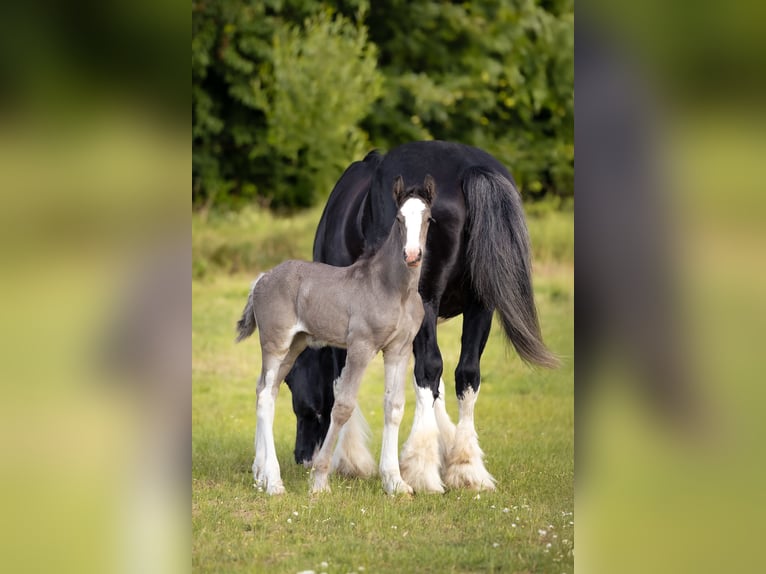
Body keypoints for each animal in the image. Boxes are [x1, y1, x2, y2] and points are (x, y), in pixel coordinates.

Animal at [236, 176, 436, 495]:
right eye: (399, 218)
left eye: (428, 218)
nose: (412, 255)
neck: (393, 289)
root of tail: (262, 278)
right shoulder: (360, 347)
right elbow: (342, 406)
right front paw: (319, 480)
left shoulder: (400, 349)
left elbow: (393, 407)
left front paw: (395, 482)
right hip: (275, 344)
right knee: (266, 395)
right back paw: (274, 482)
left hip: (295, 346)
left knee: (265, 389)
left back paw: (260, 474)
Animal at [285, 140, 559, 493]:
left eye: (291, 381)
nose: (301, 456)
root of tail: (469, 168)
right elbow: (437, 385)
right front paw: (445, 449)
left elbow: (343, 381)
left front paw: (350, 460)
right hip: (481, 305)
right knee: (466, 374)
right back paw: (467, 469)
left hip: (428, 300)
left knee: (431, 369)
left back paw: (422, 471)